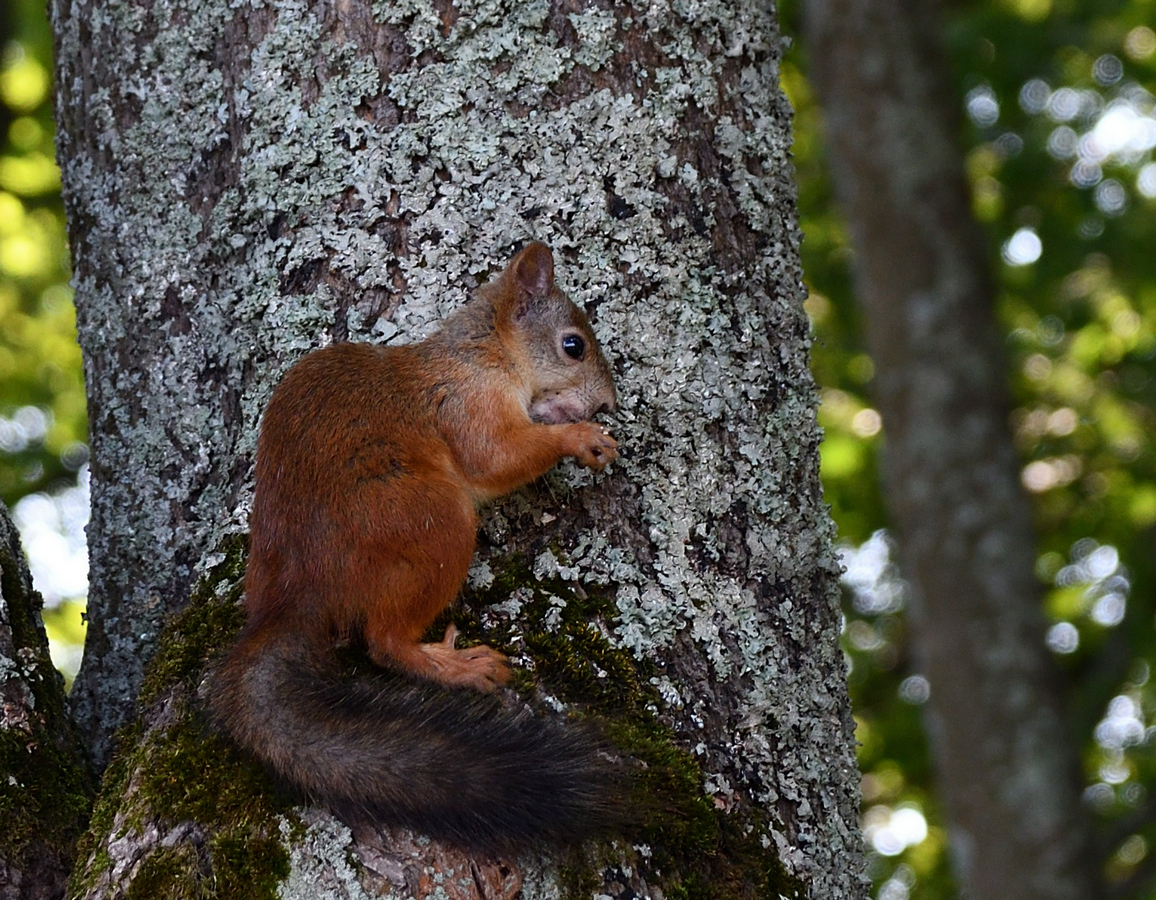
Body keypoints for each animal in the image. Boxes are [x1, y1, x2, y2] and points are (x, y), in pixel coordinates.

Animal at [209, 242, 624, 852]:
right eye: (574, 345)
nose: (607, 406)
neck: (485, 350)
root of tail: (297, 596)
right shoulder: (467, 401)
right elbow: (494, 458)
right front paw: (578, 438)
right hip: (435, 522)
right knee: (383, 642)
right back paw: (455, 666)